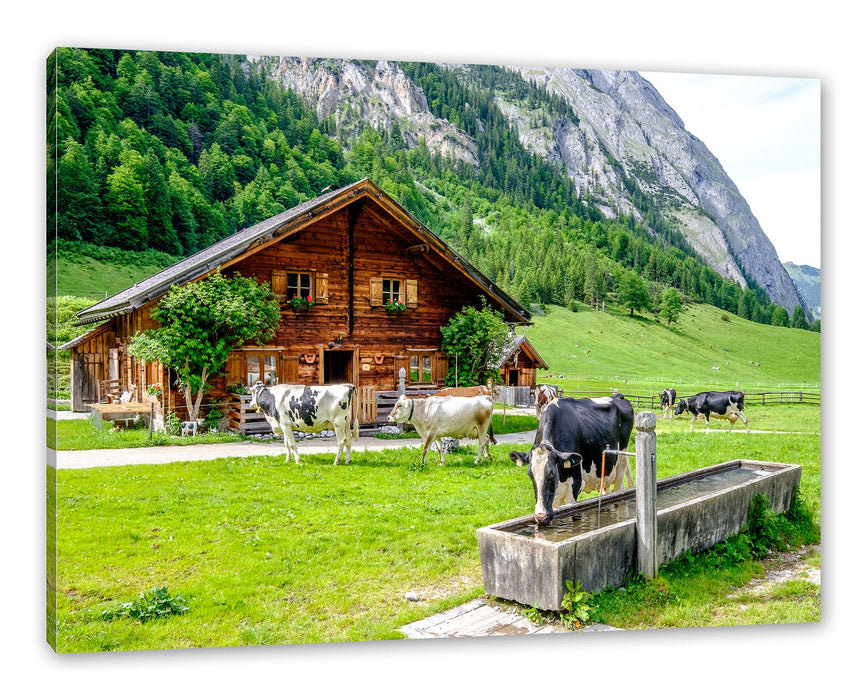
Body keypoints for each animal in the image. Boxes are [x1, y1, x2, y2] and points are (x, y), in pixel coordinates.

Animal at [506, 394, 636, 524]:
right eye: (530, 475)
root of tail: (618, 396)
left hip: (621, 463)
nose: (540, 516)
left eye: (552, 474)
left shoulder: (576, 484)